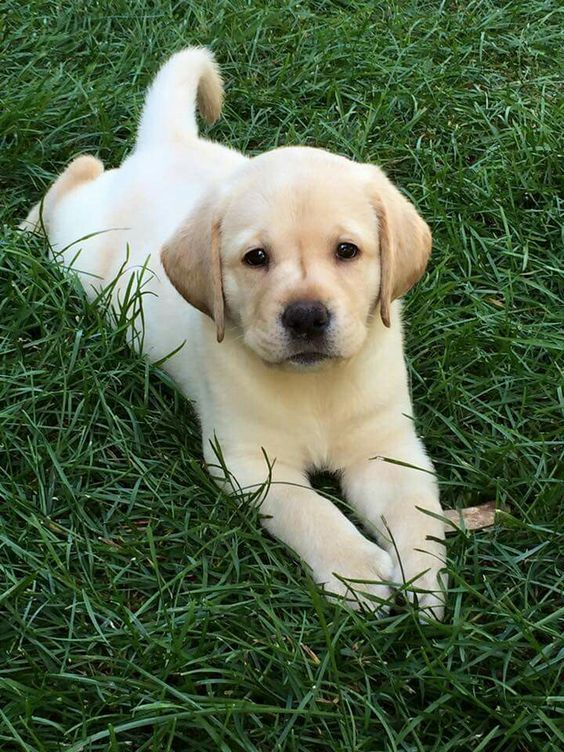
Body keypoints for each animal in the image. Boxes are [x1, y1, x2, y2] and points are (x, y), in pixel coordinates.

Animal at [20, 50, 446, 620]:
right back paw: (25, 229)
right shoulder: (249, 462)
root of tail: (166, 143)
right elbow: (308, 508)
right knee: (74, 177)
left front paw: (425, 577)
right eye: (256, 258)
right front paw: (354, 569)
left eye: (347, 251)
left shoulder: (386, 447)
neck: (316, 386)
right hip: (79, 248)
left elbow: (415, 509)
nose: (306, 317)